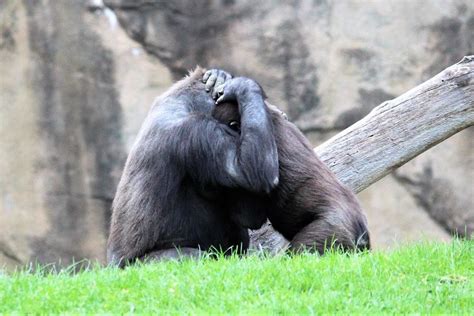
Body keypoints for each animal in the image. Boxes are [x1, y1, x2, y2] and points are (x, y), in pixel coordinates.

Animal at [107, 67, 370, 266]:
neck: (180, 103)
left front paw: (235, 84)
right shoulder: (199, 132)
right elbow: (251, 173)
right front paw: (240, 86)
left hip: (335, 232)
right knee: (193, 258)